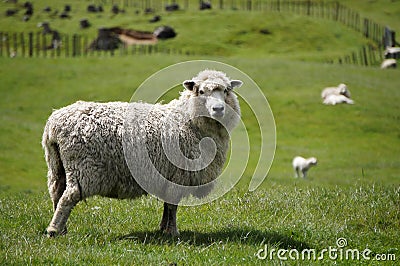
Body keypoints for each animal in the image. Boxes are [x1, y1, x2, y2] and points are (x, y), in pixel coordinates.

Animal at [43, 69, 244, 237]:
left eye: (226, 90)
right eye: (201, 91)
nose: (218, 109)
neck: (187, 121)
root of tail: (54, 124)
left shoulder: (167, 175)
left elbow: (167, 205)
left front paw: (163, 229)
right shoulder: (178, 175)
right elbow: (173, 206)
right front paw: (173, 232)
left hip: (56, 165)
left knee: (56, 193)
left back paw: (61, 228)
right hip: (82, 168)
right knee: (69, 196)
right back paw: (54, 230)